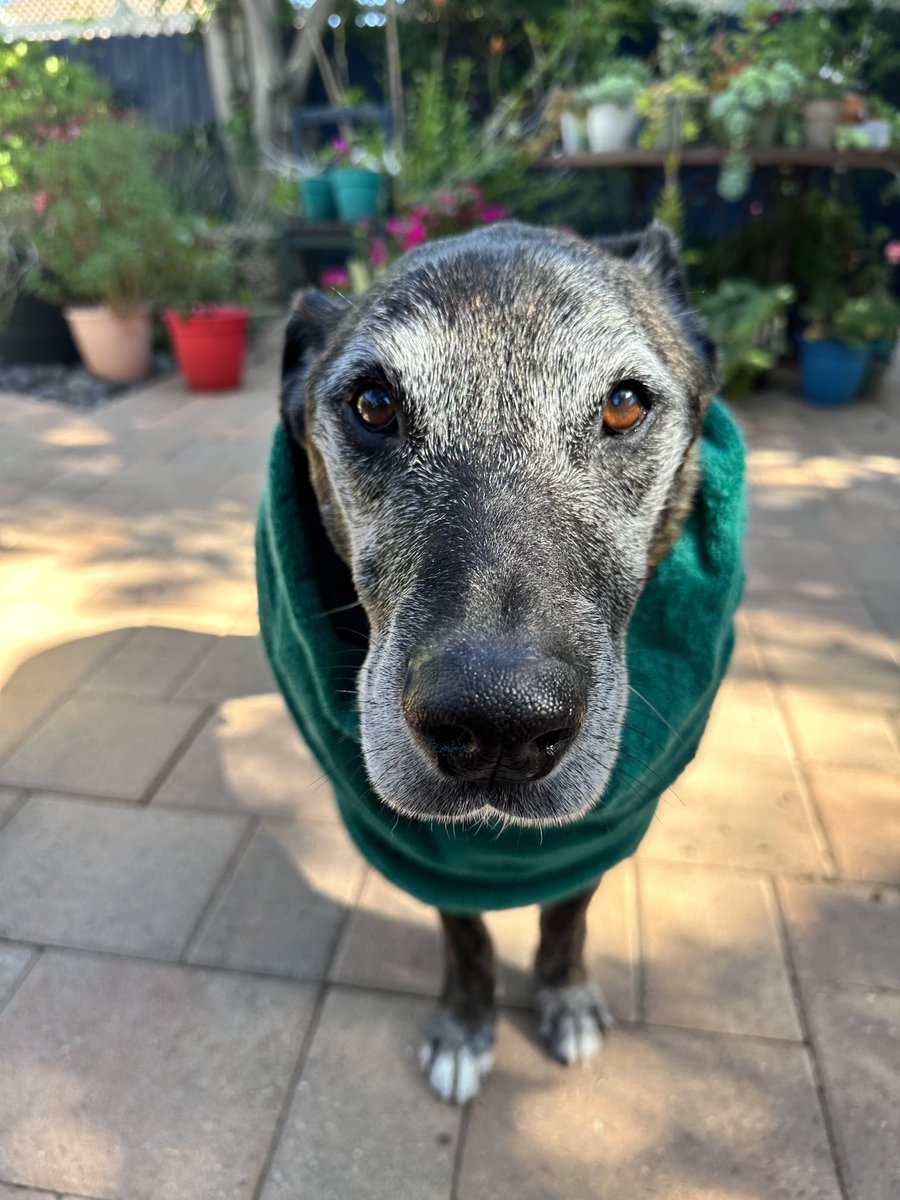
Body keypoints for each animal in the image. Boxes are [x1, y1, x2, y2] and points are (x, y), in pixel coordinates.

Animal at [277, 220, 724, 1099]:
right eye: (373, 403)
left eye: (624, 403)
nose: (499, 724)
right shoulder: (434, 853)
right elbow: (465, 932)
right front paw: (464, 1024)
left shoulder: (598, 831)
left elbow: (567, 916)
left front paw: (566, 996)